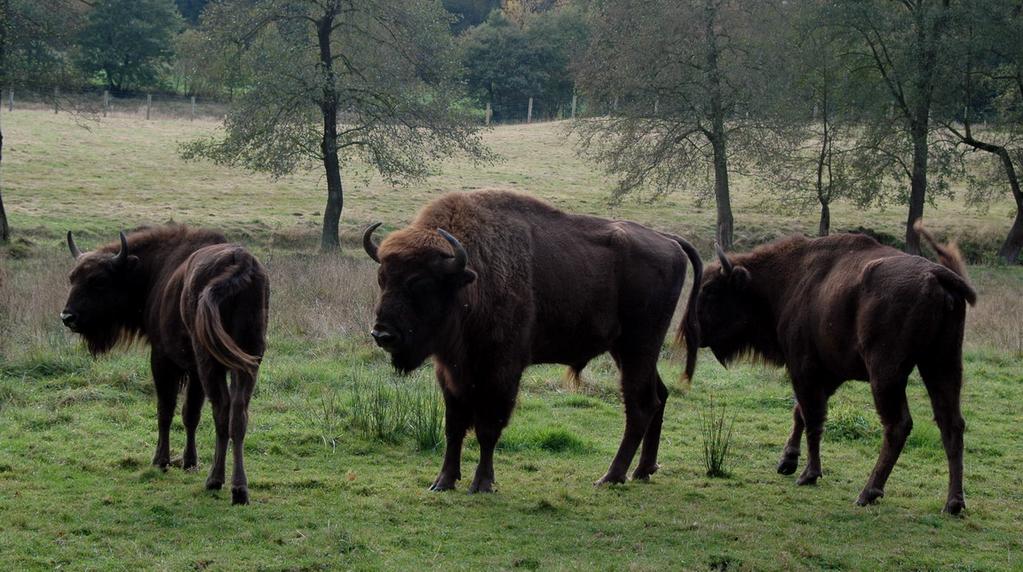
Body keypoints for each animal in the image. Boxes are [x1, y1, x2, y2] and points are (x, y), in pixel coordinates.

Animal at [59, 226, 268, 503]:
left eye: (98, 281)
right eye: (72, 278)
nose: (67, 317)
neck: (153, 269)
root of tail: (239, 262)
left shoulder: (163, 359)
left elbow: (165, 410)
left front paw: (161, 460)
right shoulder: (194, 371)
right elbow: (190, 414)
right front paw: (189, 461)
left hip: (212, 363)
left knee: (222, 412)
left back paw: (216, 481)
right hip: (248, 361)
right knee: (238, 416)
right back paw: (240, 489)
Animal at [362, 189, 703, 493]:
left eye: (420, 284)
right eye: (382, 279)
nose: (382, 334)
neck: (470, 278)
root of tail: (668, 239)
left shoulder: (501, 372)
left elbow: (488, 428)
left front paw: (482, 484)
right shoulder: (451, 372)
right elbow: (454, 427)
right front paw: (443, 482)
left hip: (639, 346)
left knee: (640, 405)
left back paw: (611, 476)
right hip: (628, 350)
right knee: (658, 397)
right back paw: (643, 470)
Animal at [687, 224, 973, 515]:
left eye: (710, 290)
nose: (691, 330)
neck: (787, 279)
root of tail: (936, 275)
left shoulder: (804, 368)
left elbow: (812, 418)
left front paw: (808, 474)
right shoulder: (829, 374)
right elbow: (800, 413)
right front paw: (787, 462)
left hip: (886, 374)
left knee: (898, 425)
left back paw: (868, 493)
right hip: (942, 364)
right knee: (952, 424)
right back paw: (953, 503)